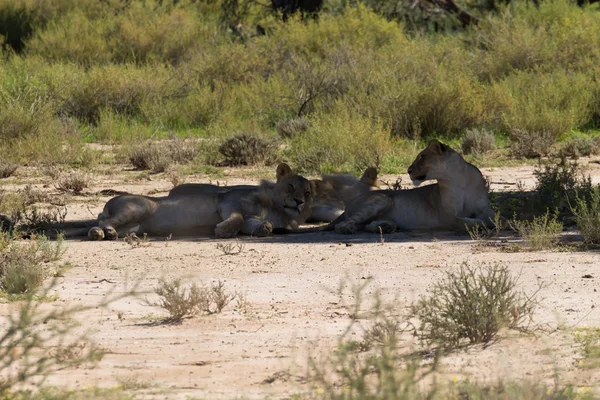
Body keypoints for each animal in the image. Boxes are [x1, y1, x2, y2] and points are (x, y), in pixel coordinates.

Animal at [47, 163, 314, 239]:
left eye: (309, 192)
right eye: (291, 186)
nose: (299, 202)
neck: (278, 209)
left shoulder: (253, 217)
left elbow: (257, 224)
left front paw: (263, 229)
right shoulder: (229, 202)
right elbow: (236, 219)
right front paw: (223, 230)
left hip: (135, 225)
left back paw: (110, 234)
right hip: (138, 207)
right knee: (101, 220)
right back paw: (101, 232)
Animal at [278, 140, 494, 234]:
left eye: (422, 156)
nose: (408, 170)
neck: (459, 179)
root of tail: (348, 206)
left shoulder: (485, 208)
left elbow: (493, 217)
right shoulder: (447, 216)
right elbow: (467, 221)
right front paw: (480, 224)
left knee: (365, 225)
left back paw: (387, 226)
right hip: (383, 199)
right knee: (344, 225)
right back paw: (352, 229)